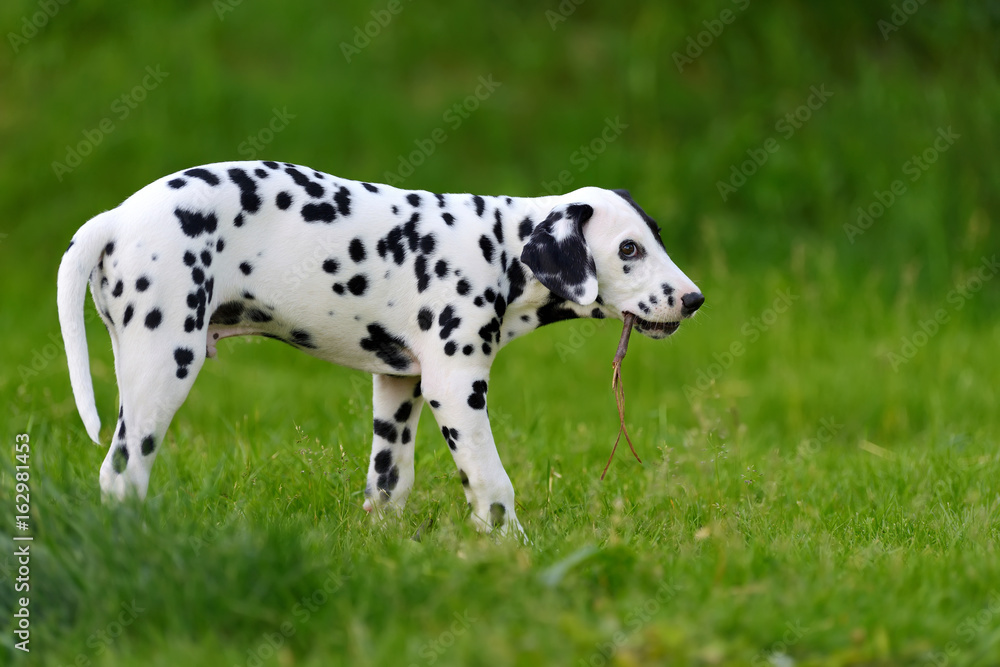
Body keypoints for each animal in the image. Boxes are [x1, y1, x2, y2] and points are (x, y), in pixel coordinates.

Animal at [58, 160, 708, 536]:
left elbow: (390, 484)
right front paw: (514, 553)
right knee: (122, 473)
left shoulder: (401, 385)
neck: (497, 247)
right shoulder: (456, 388)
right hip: (163, 367)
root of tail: (115, 218)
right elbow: (494, 486)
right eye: (628, 250)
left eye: (655, 238)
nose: (695, 299)